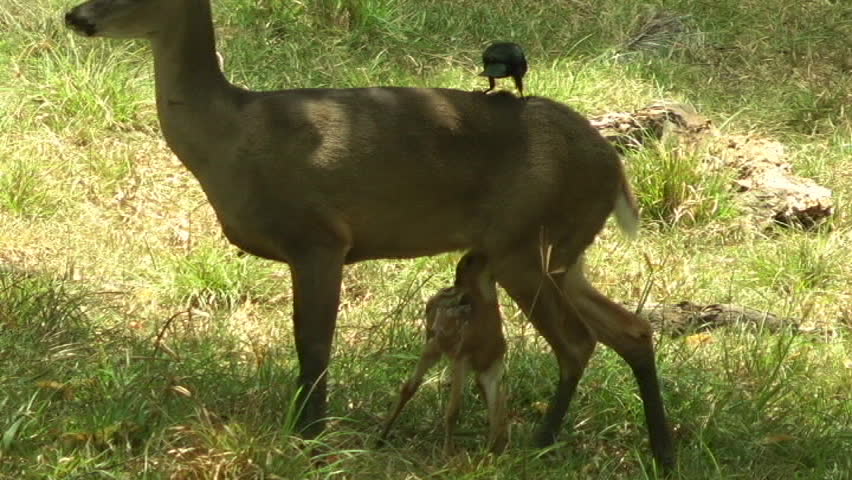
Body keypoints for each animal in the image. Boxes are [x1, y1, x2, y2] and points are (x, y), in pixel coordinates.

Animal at [380, 252, 508, 454]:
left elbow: (495, 410)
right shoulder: (463, 358)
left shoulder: (493, 368)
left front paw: (491, 450)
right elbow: (453, 410)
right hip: (433, 345)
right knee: (409, 386)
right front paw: (448, 454)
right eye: (469, 261)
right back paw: (381, 435)